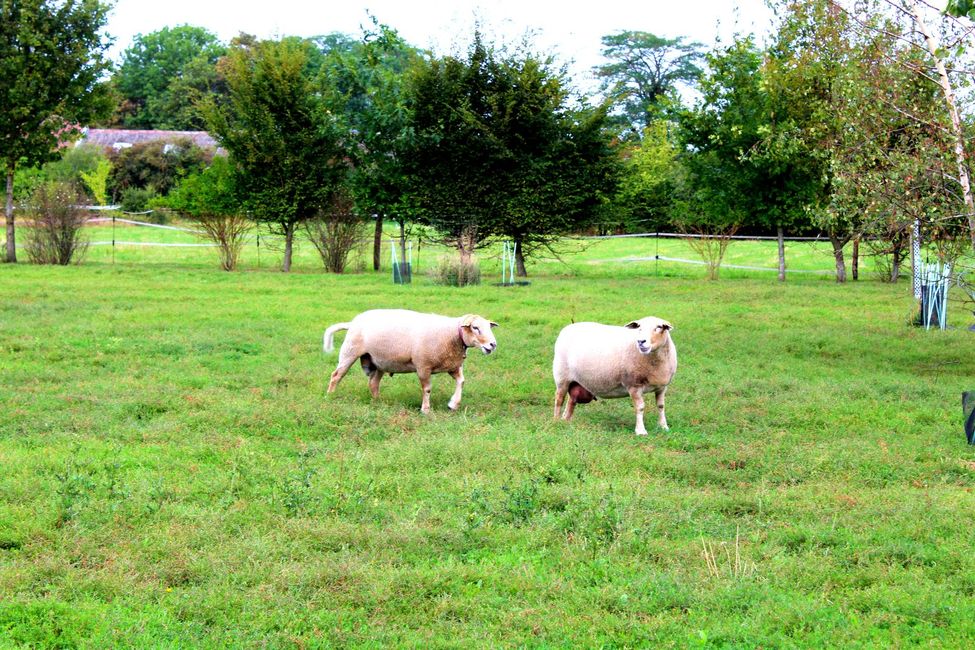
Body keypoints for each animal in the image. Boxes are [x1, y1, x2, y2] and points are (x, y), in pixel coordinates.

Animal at [324, 308, 500, 410]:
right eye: (475, 327)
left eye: (488, 327)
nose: (493, 345)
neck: (453, 335)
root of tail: (352, 323)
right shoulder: (423, 366)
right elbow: (427, 389)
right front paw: (426, 410)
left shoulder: (453, 366)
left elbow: (461, 382)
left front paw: (453, 404)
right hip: (349, 352)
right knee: (336, 375)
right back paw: (330, 396)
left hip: (379, 361)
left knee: (373, 383)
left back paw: (378, 401)